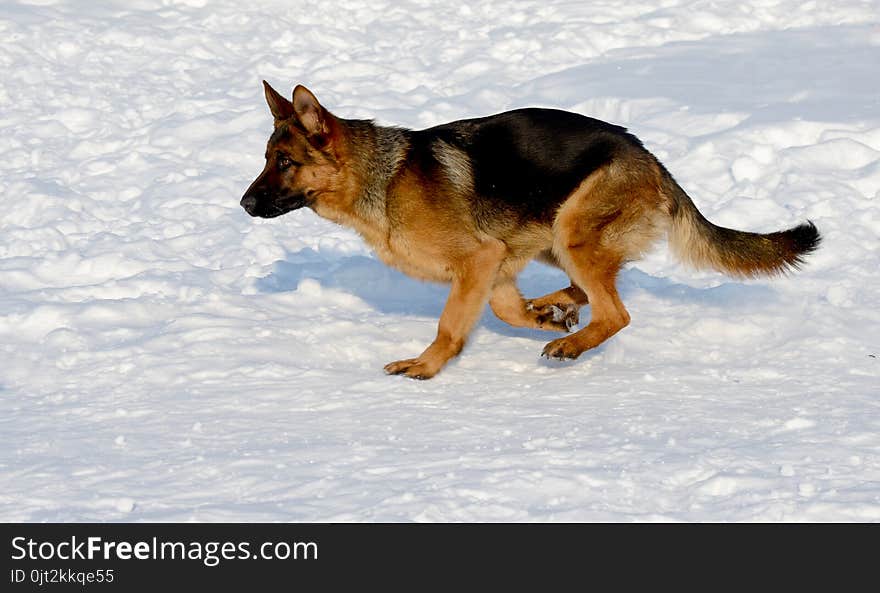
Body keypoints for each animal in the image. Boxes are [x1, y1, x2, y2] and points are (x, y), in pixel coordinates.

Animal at [241, 82, 820, 380]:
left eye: (286, 162)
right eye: (267, 159)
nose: (244, 204)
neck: (380, 178)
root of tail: (651, 158)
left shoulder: (477, 260)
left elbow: (450, 325)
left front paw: (427, 366)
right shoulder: (493, 266)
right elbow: (505, 311)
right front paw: (541, 318)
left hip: (571, 229)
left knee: (617, 311)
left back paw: (571, 342)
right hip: (553, 239)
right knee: (599, 289)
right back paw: (559, 310)